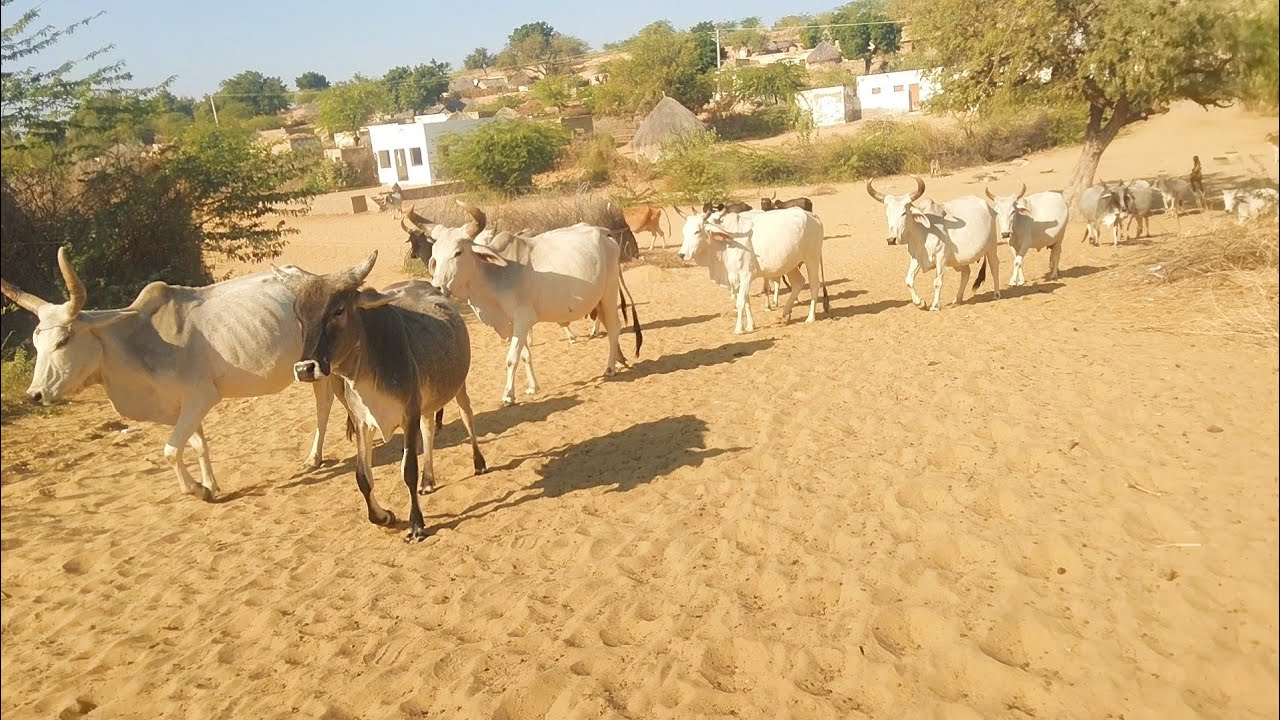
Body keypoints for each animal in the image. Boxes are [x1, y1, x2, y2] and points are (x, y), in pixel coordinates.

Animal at [0, 247, 336, 502]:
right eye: (36, 342)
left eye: (63, 340)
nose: (35, 394)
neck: (137, 344)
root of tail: (314, 279)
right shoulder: (181, 406)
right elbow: (197, 444)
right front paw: (210, 485)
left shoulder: (201, 397)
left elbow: (171, 450)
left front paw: (197, 490)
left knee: (324, 404)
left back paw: (313, 458)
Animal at [277, 253, 485, 543]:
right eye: (299, 317)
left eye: (338, 310)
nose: (304, 368)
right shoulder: (363, 421)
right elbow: (362, 477)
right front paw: (384, 516)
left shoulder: (409, 415)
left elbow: (408, 470)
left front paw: (416, 525)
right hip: (427, 402)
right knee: (429, 429)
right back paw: (428, 480)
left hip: (458, 386)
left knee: (467, 416)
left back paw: (479, 463)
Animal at [426, 204, 642, 406]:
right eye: (435, 255)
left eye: (458, 252)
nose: (437, 285)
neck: (495, 274)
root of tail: (603, 232)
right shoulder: (510, 325)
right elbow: (524, 355)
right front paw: (532, 387)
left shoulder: (523, 318)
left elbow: (512, 358)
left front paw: (508, 396)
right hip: (598, 300)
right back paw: (619, 361)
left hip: (609, 293)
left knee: (614, 328)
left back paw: (610, 368)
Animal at [677, 207, 829, 334]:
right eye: (683, 232)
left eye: (697, 231)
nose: (681, 254)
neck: (726, 243)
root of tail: (812, 215)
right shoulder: (736, 278)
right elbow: (746, 301)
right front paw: (750, 326)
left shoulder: (745, 275)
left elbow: (740, 302)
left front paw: (738, 329)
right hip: (790, 264)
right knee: (798, 283)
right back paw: (785, 314)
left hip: (812, 259)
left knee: (814, 285)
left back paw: (810, 317)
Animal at [867, 177, 1000, 311]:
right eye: (887, 214)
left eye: (904, 213)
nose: (891, 240)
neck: (923, 231)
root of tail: (988, 207)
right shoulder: (916, 258)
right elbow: (909, 280)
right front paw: (920, 303)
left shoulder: (941, 257)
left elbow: (937, 282)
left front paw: (935, 305)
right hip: (960, 261)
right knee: (966, 273)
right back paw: (957, 299)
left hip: (991, 247)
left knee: (994, 266)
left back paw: (996, 294)